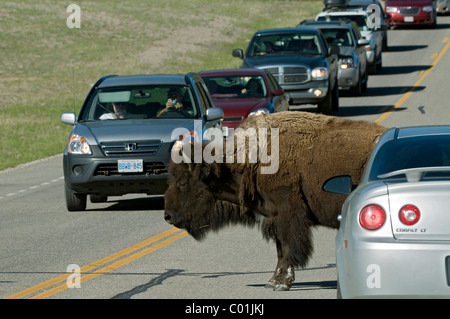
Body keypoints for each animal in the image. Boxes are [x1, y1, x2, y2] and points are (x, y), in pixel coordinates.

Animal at [163, 112, 384, 292]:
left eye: (183, 183)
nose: (167, 216)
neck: (249, 159)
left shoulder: (287, 216)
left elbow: (287, 249)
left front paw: (281, 283)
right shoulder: (274, 217)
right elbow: (279, 250)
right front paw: (273, 281)